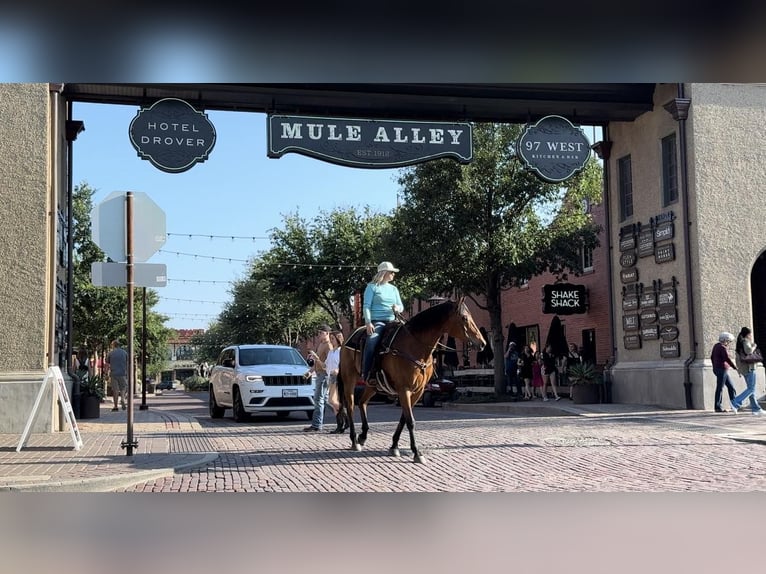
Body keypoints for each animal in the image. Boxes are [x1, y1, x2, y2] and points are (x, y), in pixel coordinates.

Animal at [338, 300, 486, 466]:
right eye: (465, 318)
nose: (482, 343)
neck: (415, 347)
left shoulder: (418, 391)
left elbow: (404, 419)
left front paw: (394, 446)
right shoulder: (404, 390)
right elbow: (410, 421)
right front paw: (417, 452)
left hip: (373, 385)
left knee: (362, 402)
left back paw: (363, 436)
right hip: (349, 379)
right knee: (350, 406)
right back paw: (354, 440)